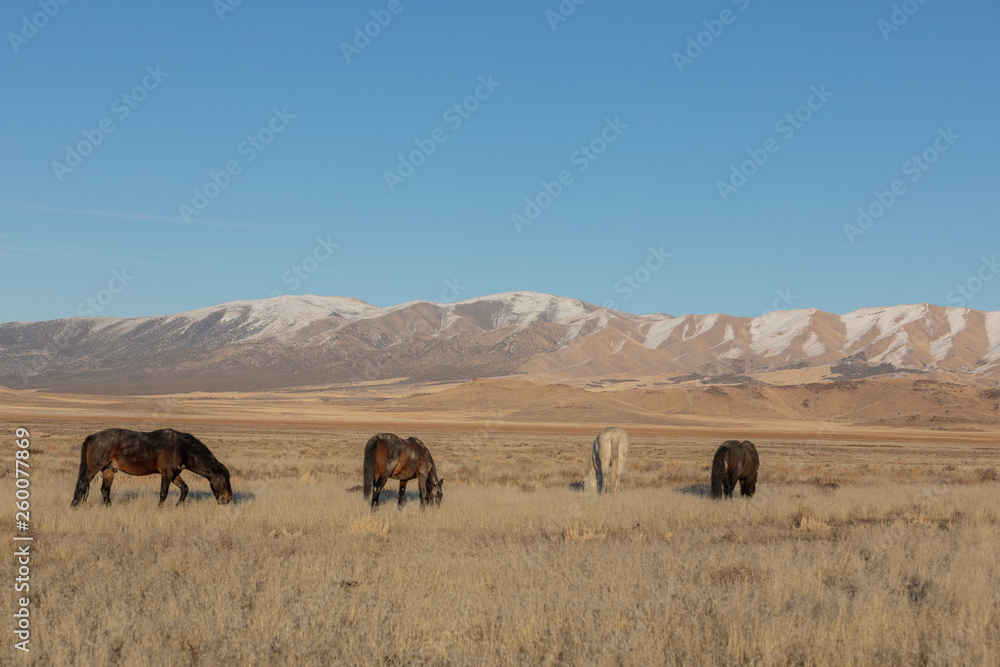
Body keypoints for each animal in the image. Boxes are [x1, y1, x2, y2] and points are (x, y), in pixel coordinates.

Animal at [71, 428, 234, 506]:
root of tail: (93, 436)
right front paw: (160, 509)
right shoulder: (167, 473)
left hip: (108, 470)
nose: (228, 499)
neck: (182, 448)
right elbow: (163, 493)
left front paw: (178, 505)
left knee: (105, 490)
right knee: (82, 483)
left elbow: (185, 489)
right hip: (94, 468)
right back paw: (74, 505)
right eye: (224, 479)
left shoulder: (174, 474)